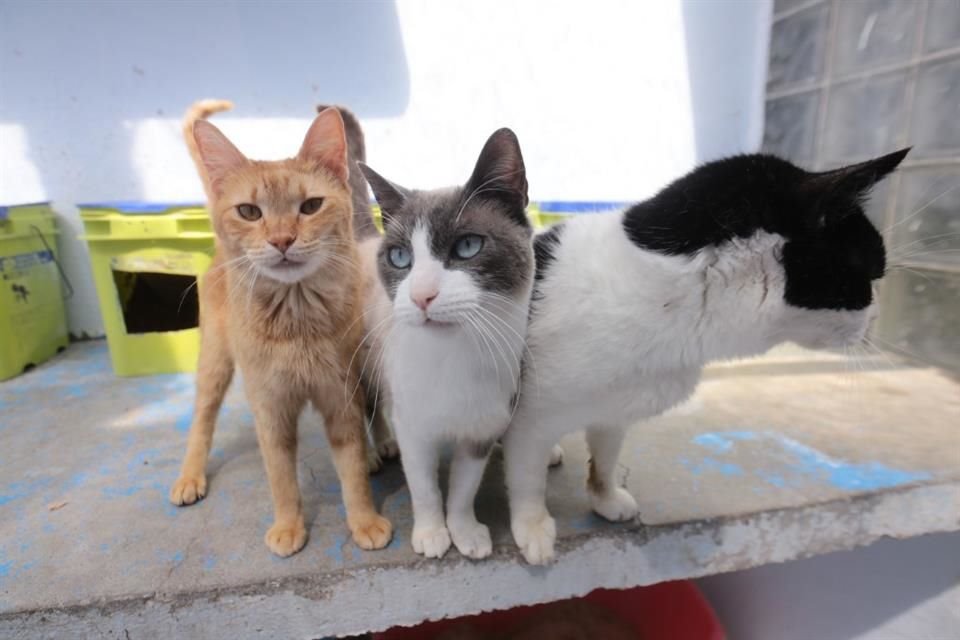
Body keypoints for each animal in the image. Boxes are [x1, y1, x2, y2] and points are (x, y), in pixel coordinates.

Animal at [169, 99, 390, 556]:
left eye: (310, 206)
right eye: (249, 212)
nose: (283, 240)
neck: (295, 322)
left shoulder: (340, 395)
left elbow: (353, 471)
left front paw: (364, 520)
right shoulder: (269, 407)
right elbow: (281, 477)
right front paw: (289, 527)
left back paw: (380, 447)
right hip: (214, 362)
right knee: (202, 419)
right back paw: (190, 476)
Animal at [362, 130, 536, 560]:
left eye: (468, 247)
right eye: (400, 256)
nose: (421, 295)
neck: (452, 358)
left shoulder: (481, 429)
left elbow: (463, 488)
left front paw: (465, 532)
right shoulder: (412, 426)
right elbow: (424, 487)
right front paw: (431, 534)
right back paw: (377, 449)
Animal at [502, 148, 908, 564]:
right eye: (870, 278)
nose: (876, 316)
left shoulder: (614, 410)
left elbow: (606, 457)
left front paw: (605, 497)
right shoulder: (530, 418)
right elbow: (527, 476)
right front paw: (533, 525)